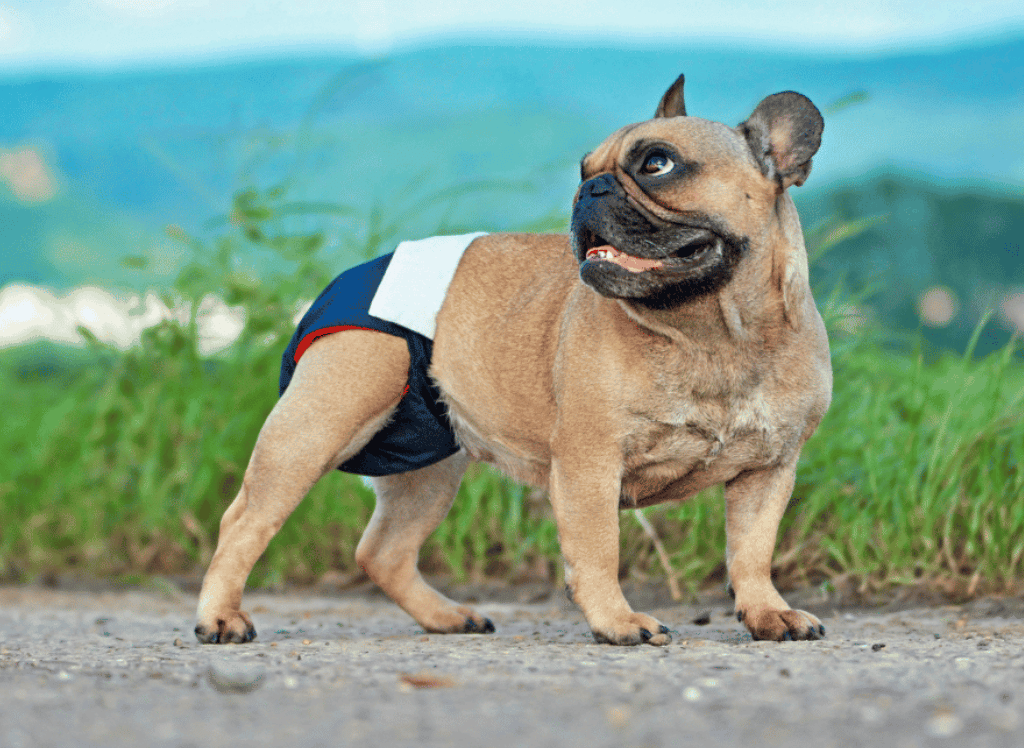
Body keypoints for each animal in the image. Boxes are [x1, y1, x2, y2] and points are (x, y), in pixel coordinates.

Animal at [193, 75, 831, 647]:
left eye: (658, 163)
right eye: (584, 168)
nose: (589, 190)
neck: (714, 334)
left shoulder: (768, 471)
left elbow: (751, 552)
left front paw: (768, 612)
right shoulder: (589, 463)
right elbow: (599, 549)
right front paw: (618, 621)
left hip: (428, 467)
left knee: (383, 551)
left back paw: (447, 617)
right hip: (320, 423)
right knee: (245, 521)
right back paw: (221, 618)